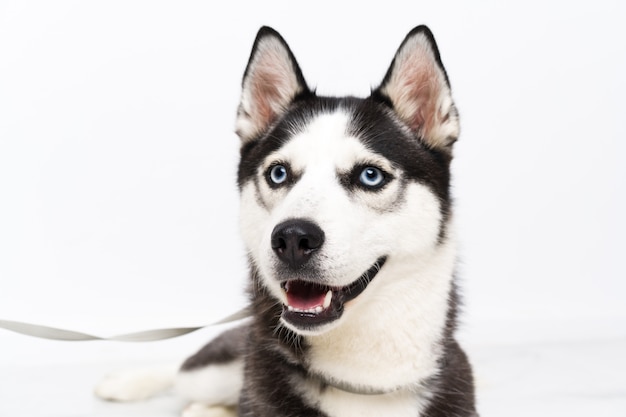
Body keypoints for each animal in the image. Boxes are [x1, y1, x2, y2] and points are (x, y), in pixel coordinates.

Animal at [96, 26, 478, 416]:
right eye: (278, 173)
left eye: (370, 176)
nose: (293, 238)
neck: (363, 387)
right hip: (211, 374)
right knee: (181, 374)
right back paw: (130, 383)